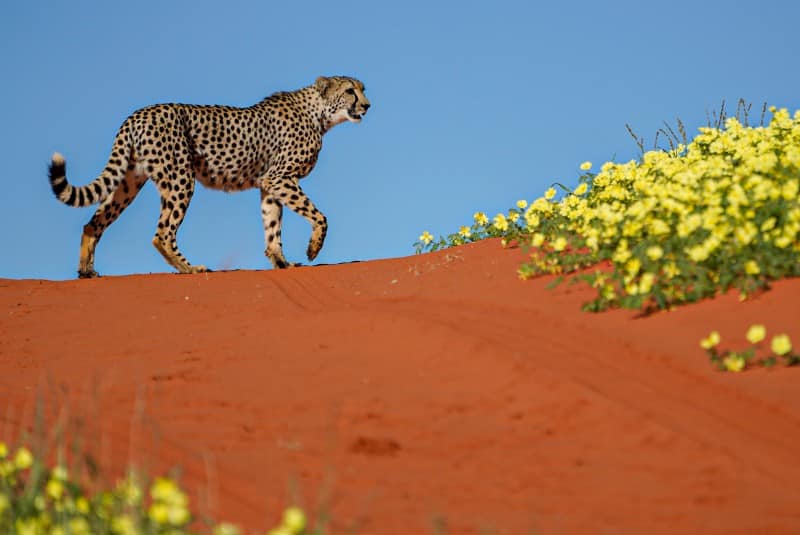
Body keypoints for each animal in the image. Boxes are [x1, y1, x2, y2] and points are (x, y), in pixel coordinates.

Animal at [50, 75, 372, 278]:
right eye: (350, 91)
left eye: (362, 89)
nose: (367, 105)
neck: (320, 114)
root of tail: (137, 114)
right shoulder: (281, 178)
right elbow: (319, 216)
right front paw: (313, 248)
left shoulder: (269, 184)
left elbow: (272, 225)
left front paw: (281, 262)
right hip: (180, 178)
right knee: (162, 232)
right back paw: (190, 269)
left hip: (129, 182)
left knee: (94, 222)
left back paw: (86, 271)